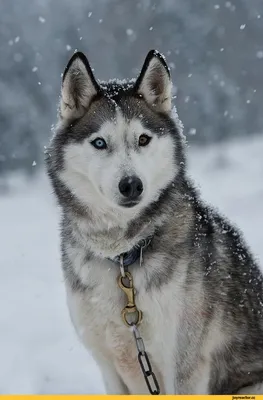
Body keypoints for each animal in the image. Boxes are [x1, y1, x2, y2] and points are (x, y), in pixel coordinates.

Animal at [46, 49, 263, 394]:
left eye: (144, 139)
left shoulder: (184, 364)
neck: (122, 255)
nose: (131, 185)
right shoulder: (109, 367)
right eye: (99, 143)